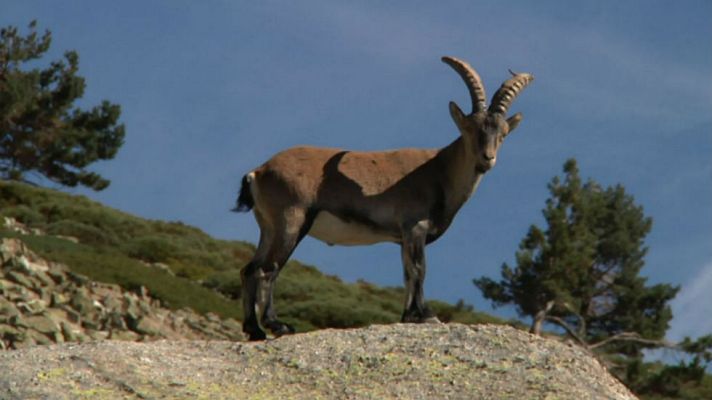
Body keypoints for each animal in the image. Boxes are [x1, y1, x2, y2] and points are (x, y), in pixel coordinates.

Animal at [234, 56, 533, 340]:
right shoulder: (415, 227)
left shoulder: (403, 236)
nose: (487, 158)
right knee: (268, 269)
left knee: (249, 269)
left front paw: (408, 316)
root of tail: (258, 172)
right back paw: (277, 325)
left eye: (502, 134)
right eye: (470, 129)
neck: (439, 171)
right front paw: (426, 315)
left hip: (269, 227)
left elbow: (407, 273)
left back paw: (254, 330)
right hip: (291, 221)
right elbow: (419, 269)